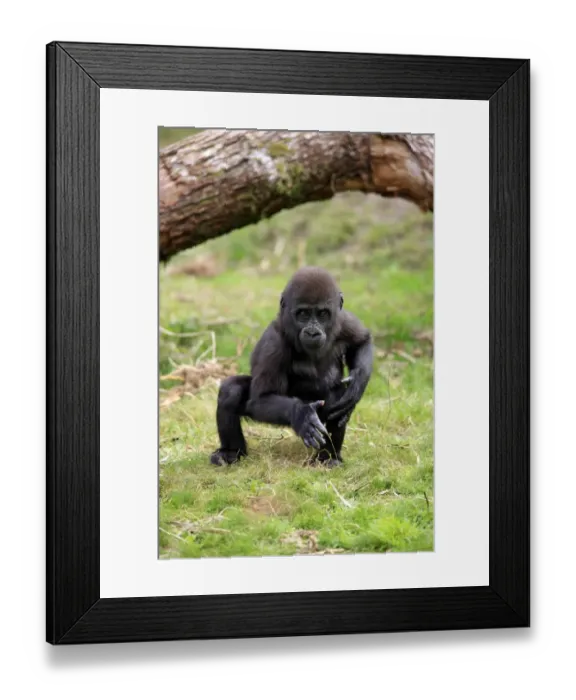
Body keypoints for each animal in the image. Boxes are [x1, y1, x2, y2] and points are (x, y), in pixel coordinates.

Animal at [209, 266, 373, 467]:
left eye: (322, 314)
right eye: (303, 314)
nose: (312, 332)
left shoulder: (343, 320)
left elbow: (362, 342)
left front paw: (357, 384)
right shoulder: (273, 344)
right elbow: (261, 399)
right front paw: (301, 414)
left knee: (336, 398)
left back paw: (327, 458)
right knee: (231, 390)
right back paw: (231, 453)